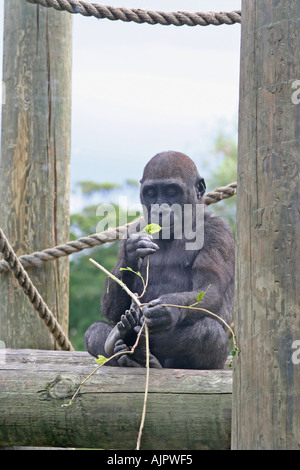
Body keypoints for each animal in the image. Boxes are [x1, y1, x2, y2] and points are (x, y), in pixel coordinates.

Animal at [84, 152, 234, 370]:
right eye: (151, 193)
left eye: (172, 192)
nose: (159, 210)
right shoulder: (134, 228)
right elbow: (111, 309)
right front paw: (132, 252)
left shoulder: (218, 231)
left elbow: (209, 289)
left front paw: (167, 309)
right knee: (94, 330)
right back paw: (121, 345)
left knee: (209, 332)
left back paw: (140, 349)